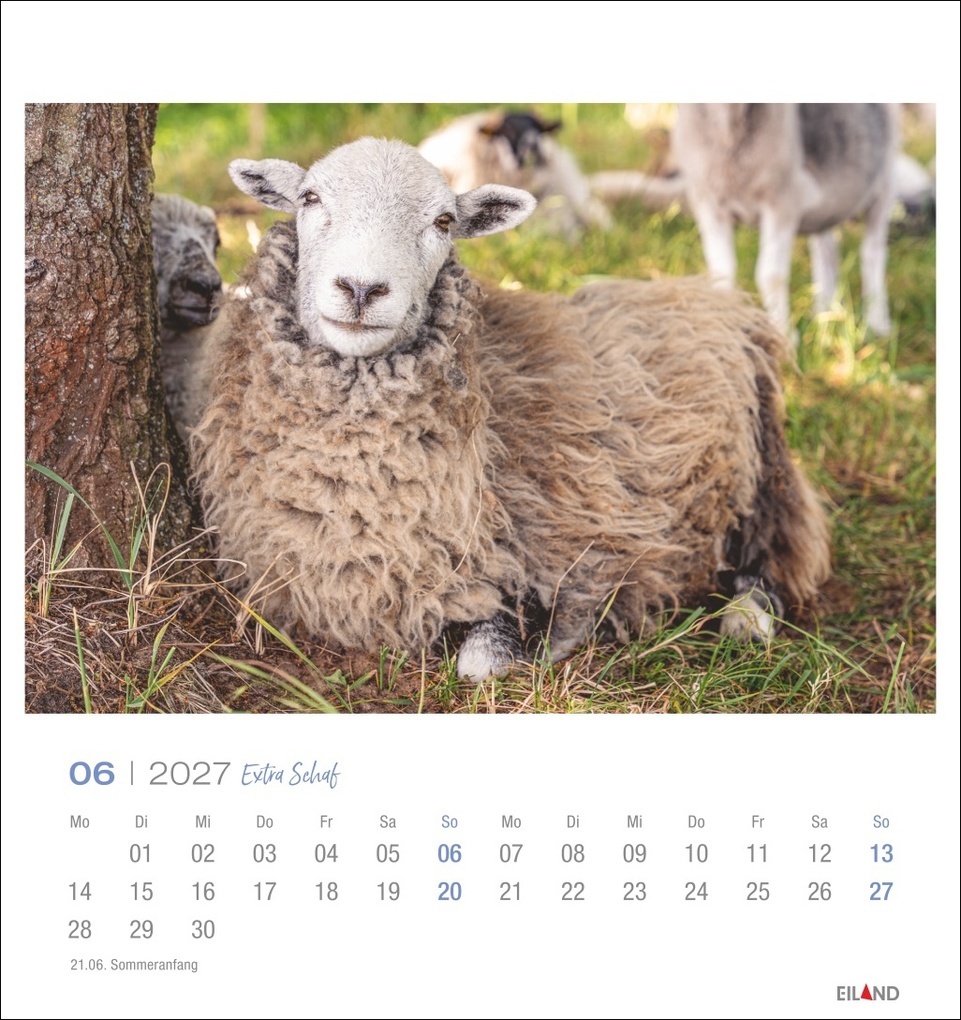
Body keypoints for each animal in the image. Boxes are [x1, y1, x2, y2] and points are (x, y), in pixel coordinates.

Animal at [188, 137, 830, 682]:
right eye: (310, 198)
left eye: (444, 221)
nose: (362, 289)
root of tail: (712, 295)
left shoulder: (543, 555)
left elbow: (483, 662)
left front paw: (557, 641)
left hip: (759, 472)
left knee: (774, 552)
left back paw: (747, 618)